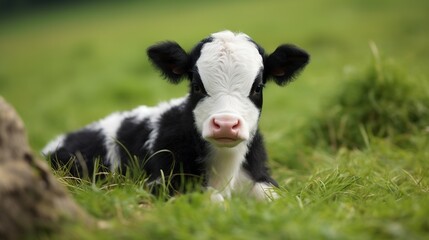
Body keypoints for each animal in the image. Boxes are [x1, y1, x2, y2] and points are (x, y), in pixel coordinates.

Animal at [42, 30, 308, 202]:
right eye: (197, 86)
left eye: (257, 87)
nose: (225, 124)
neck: (224, 168)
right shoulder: (160, 183)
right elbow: (214, 200)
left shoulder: (260, 174)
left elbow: (281, 198)